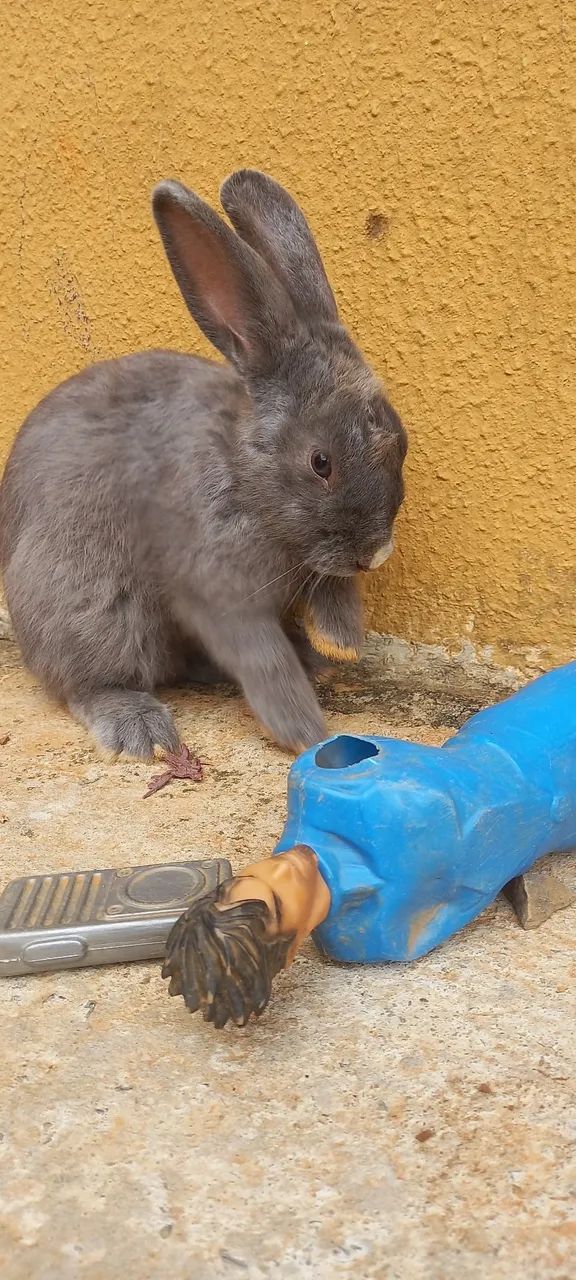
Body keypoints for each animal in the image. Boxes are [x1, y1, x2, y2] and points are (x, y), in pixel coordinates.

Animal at [0, 170, 407, 760]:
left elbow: (331, 591)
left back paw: (315, 662)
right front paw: (307, 733)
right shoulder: (217, 595)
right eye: (320, 462)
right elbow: (263, 660)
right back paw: (141, 731)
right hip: (85, 607)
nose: (375, 554)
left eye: (401, 442)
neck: (241, 468)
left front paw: (341, 644)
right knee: (89, 682)